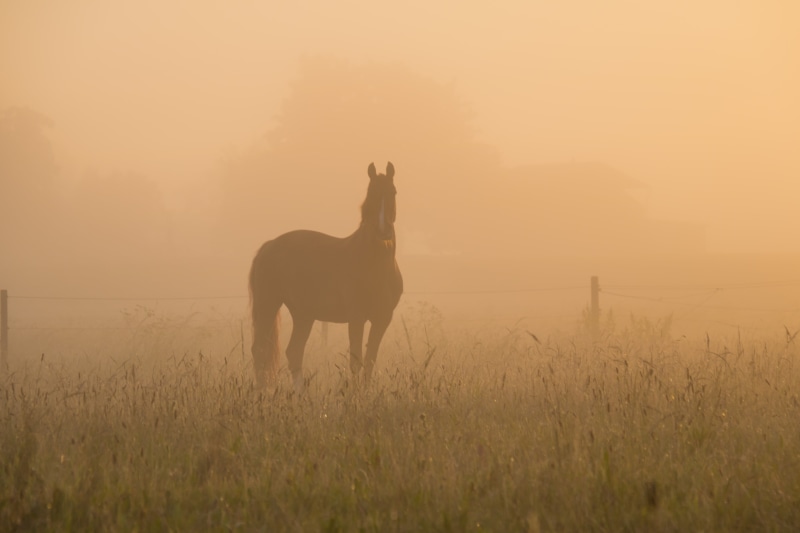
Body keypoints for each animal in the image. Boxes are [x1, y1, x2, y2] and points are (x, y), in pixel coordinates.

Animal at [249, 162, 403, 391]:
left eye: (393, 192)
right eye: (371, 194)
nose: (383, 232)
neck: (374, 264)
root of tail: (269, 245)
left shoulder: (382, 318)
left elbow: (370, 360)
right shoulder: (356, 317)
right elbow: (356, 361)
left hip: (303, 314)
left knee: (294, 352)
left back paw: (300, 394)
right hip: (268, 306)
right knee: (260, 351)